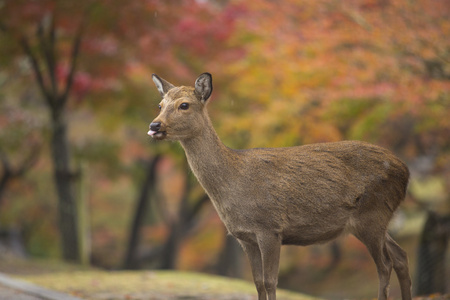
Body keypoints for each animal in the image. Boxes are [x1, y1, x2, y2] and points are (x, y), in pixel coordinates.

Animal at [147, 72, 412, 300]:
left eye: (184, 105)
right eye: (160, 105)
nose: (154, 126)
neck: (234, 182)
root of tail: (405, 171)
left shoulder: (270, 227)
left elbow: (270, 282)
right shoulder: (245, 237)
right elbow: (257, 282)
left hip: (372, 213)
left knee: (385, 265)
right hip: (375, 219)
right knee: (400, 256)